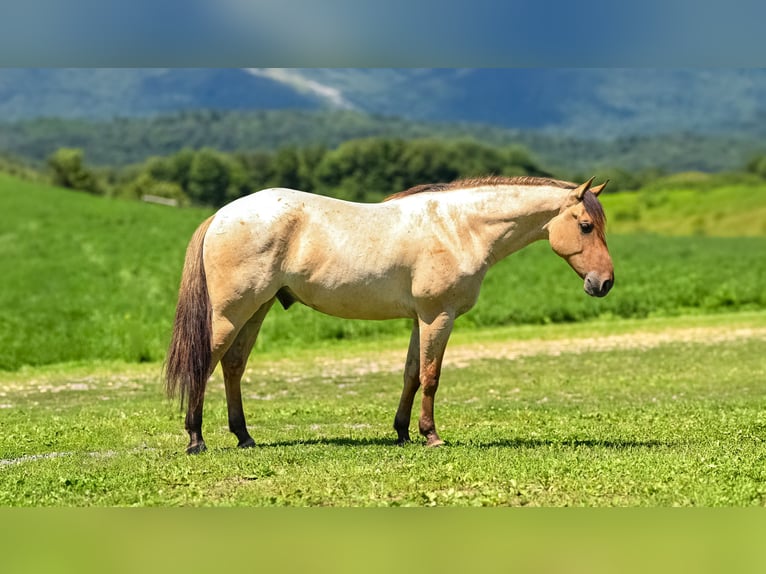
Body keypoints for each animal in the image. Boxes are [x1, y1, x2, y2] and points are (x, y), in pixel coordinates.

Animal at [165, 175, 613, 454]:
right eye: (586, 226)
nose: (605, 282)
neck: (459, 227)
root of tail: (221, 215)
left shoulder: (420, 319)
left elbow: (412, 374)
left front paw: (402, 432)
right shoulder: (438, 316)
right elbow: (431, 376)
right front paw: (431, 436)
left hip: (256, 309)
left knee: (233, 366)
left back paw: (244, 436)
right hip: (230, 313)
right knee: (205, 363)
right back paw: (195, 440)